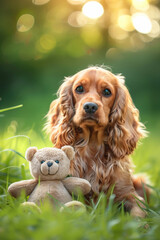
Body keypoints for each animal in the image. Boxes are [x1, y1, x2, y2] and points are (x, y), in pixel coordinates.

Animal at [45, 66, 148, 218]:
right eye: (79, 89)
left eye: (107, 91)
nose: (90, 106)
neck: (92, 145)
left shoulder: (129, 194)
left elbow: (138, 214)